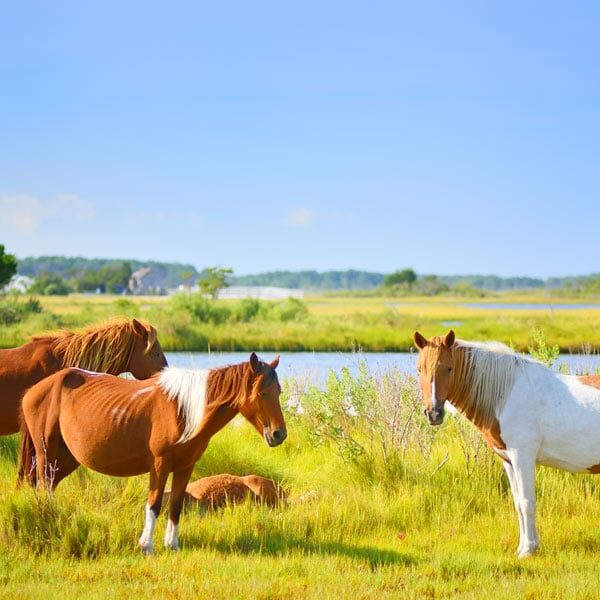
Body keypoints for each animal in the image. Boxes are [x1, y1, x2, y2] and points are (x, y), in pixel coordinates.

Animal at [19, 352, 288, 552]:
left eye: (279, 391)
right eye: (262, 392)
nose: (279, 434)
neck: (184, 410)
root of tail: (35, 390)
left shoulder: (185, 466)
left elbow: (176, 504)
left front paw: (172, 545)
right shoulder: (159, 465)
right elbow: (155, 503)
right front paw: (146, 545)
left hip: (66, 457)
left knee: (49, 483)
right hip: (46, 450)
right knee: (44, 483)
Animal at [414, 328, 600, 556]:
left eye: (448, 368)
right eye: (419, 370)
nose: (433, 414)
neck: (505, 395)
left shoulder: (523, 456)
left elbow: (528, 502)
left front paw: (528, 550)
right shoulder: (509, 460)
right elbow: (518, 503)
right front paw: (524, 546)